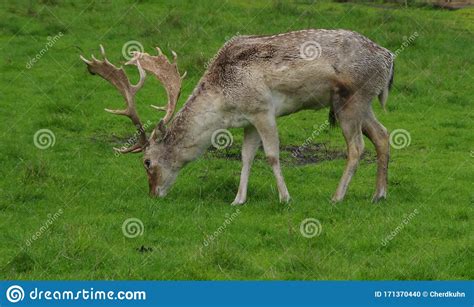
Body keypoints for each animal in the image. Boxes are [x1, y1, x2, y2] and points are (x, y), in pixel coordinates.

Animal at [80, 30, 392, 206]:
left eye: (146, 162)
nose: (153, 194)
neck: (224, 104)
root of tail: (390, 59)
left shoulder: (263, 109)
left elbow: (272, 155)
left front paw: (285, 198)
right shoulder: (249, 121)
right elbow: (246, 157)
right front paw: (238, 200)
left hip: (351, 100)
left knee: (357, 147)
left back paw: (337, 197)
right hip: (361, 104)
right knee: (383, 135)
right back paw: (378, 194)